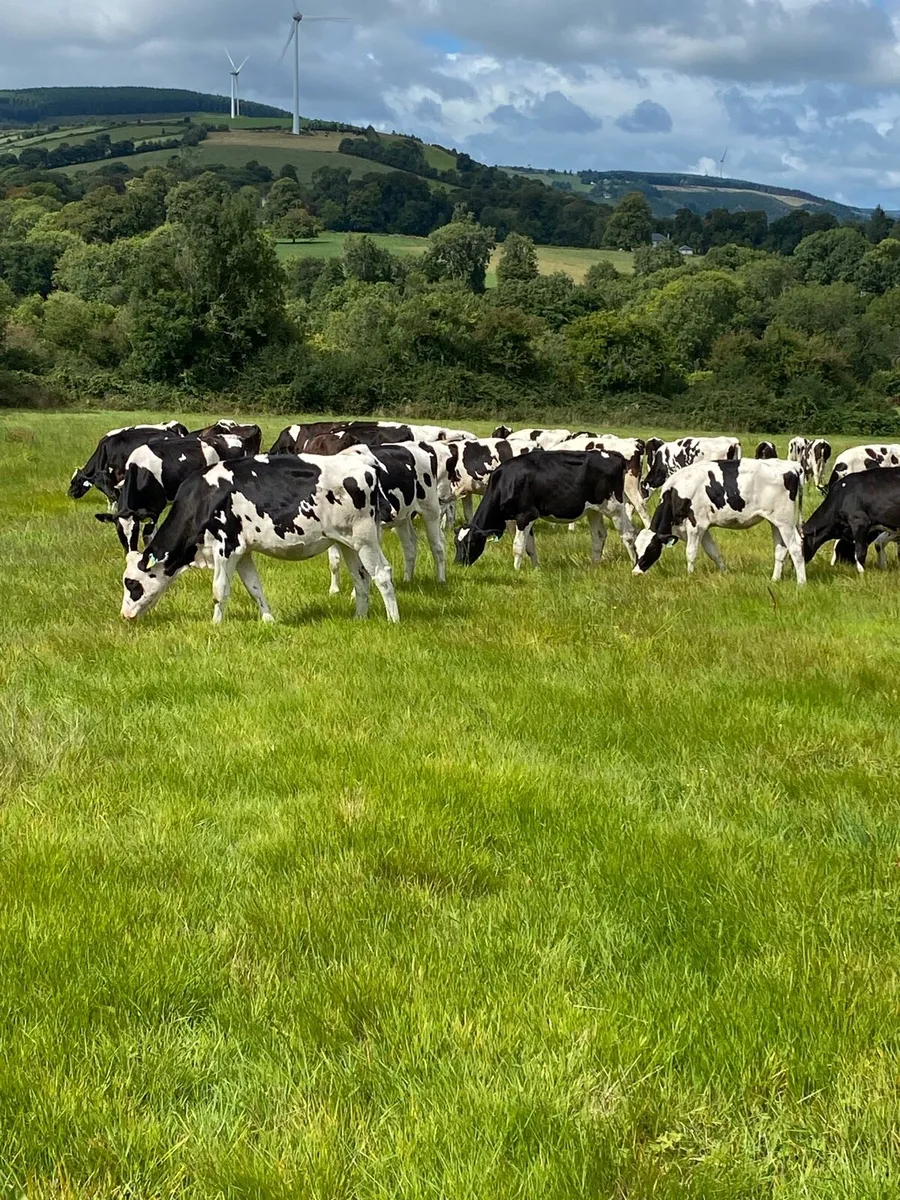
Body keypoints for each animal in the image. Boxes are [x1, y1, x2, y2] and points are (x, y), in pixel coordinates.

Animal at [95, 428, 261, 551]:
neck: (141, 469)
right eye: (119, 532)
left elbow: (148, 535)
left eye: (134, 530)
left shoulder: (155, 508)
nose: (130, 551)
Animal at [118, 454, 399, 625]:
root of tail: (366, 465)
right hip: (346, 541)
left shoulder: (227, 548)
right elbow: (254, 588)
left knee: (382, 573)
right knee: (361, 578)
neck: (203, 499)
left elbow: (219, 591)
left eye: (131, 583)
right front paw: (268, 621)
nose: (124, 615)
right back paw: (359, 618)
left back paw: (393, 620)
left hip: (365, 538)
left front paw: (215, 625)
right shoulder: (243, 551)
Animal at [327, 441, 447, 593]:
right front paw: (334, 590)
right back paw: (407, 579)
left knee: (437, 546)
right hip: (403, 518)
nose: (391, 512)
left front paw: (355, 593)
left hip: (430, 509)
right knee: (410, 546)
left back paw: (441, 580)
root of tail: (422, 444)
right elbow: (334, 561)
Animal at [454, 450, 636, 571]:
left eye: (471, 542)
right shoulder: (521, 518)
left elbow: (518, 546)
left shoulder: (526, 515)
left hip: (614, 507)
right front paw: (536, 569)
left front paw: (515, 571)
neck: (506, 482)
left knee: (628, 534)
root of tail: (614, 456)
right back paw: (594, 565)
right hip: (594, 509)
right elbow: (529, 546)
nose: (457, 563)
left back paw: (634, 564)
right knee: (599, 535)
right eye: (456, 543)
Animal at [632, 459, 805, 584]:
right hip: (775, 522)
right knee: (781, 549)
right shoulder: (703, 528)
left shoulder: (696, 526)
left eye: (651, 549)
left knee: (796, 547)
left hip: (785, 521)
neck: (676, 492)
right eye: (635, 549)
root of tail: (792, 466)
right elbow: (713, 552)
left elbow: (690, 553)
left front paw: (689, 576)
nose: (636, 573)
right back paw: (775, 579)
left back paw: (801, 583)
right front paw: (725, 572)